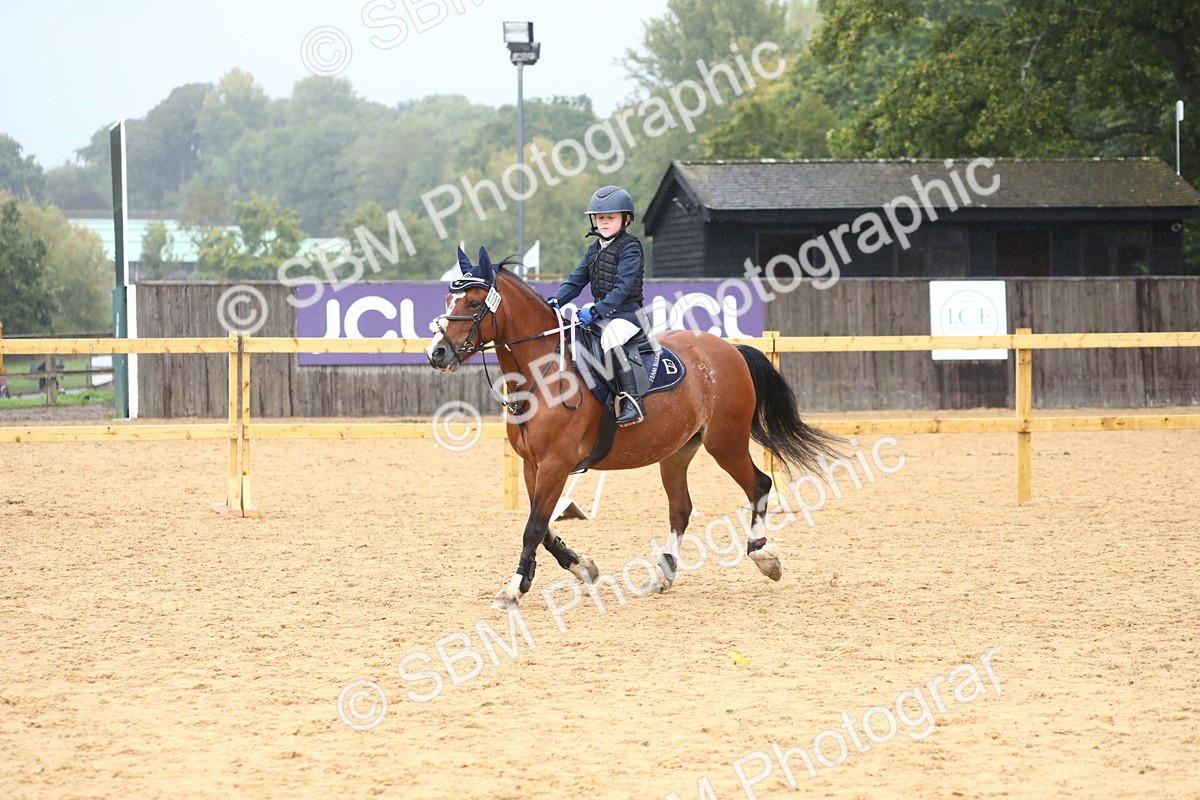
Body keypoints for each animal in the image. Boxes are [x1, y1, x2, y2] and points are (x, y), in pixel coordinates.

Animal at [427, 247, 840, 610]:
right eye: (448, 301)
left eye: (474, 303)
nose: (438, 353)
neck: (542, 373)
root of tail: (730, 349)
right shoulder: (534, 465)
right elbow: (542, 527)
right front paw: (583, 567)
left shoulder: (555, 464)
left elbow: (533, 527)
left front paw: (513, 590)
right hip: (678, 452)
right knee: (681, 509)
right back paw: (665, 573)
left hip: (725, 442)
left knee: (758, 485)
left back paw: (764, 556)